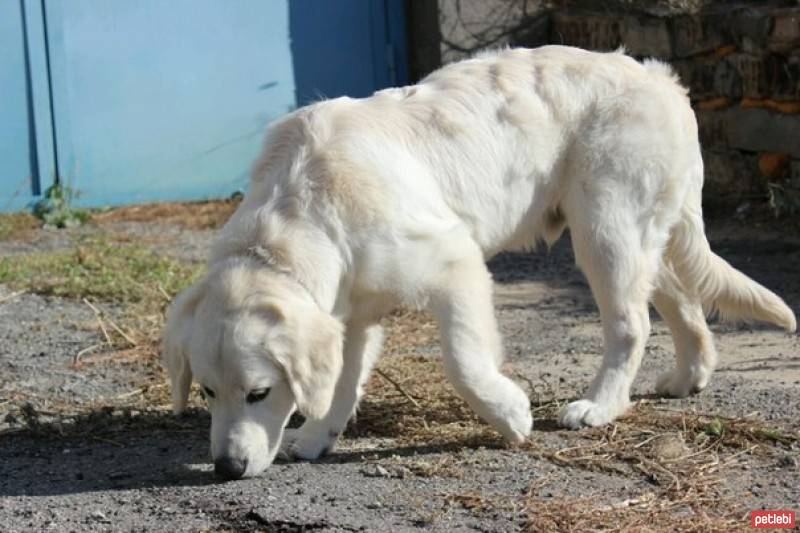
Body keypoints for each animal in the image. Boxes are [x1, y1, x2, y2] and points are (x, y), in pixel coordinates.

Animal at [161, 45, 792, 478]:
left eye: (259, 393)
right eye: (207, 393)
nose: (227, 469)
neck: (302, 206)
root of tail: (664, 81)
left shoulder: (455, 263)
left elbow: (463, 361)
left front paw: (510, 414)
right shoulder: (351, 309)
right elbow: (341, 378)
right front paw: (319, 436)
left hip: (606, 228)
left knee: (631, 324)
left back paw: (601, 405)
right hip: (638, 236)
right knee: (683, 302)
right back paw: (689, 376)